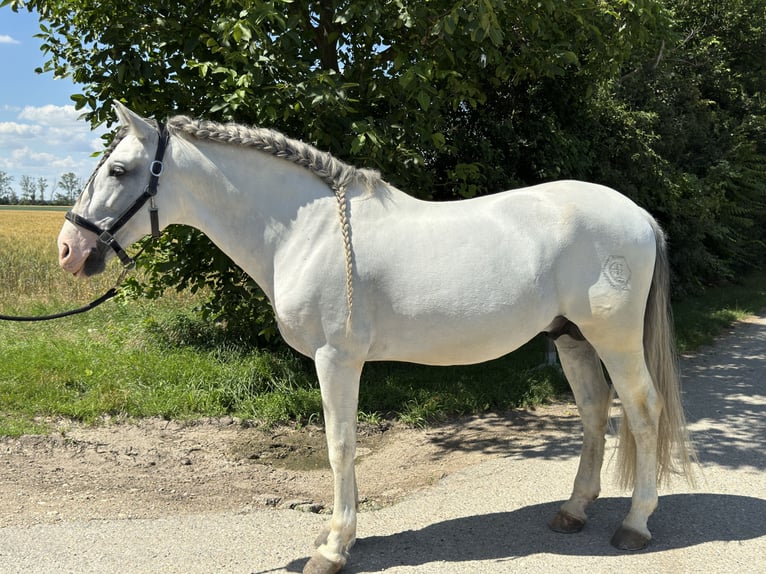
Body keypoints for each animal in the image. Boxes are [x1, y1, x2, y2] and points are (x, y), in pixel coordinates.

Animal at [58, 104, 696, 574]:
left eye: (118, 171)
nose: (69, 250)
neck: (305, 230)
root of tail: (639, 215)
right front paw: (337, 535)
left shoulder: (337, 359)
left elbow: (340, 446)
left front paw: (333, 547)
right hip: (571, 338)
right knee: (593, 412)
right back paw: (573, 510)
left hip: (613, 339)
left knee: (643, 411)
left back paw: (634, 525)